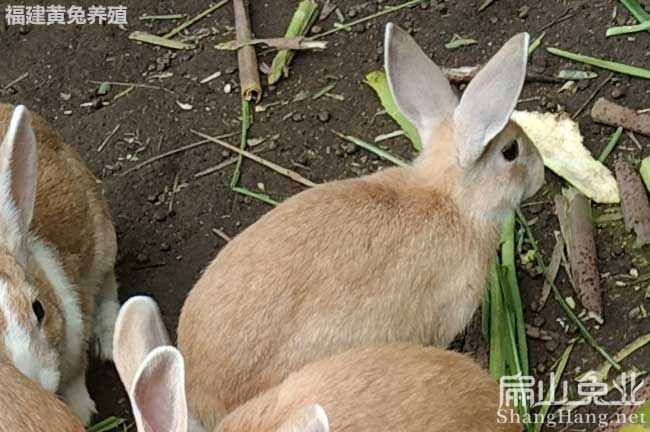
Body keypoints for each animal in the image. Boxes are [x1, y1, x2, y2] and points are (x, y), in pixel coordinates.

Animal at [0, 104, 119, 426]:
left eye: (38, 308)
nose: (35, 381)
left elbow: (76, 377)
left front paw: (83, 411)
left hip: (103, 235)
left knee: (107, 284)